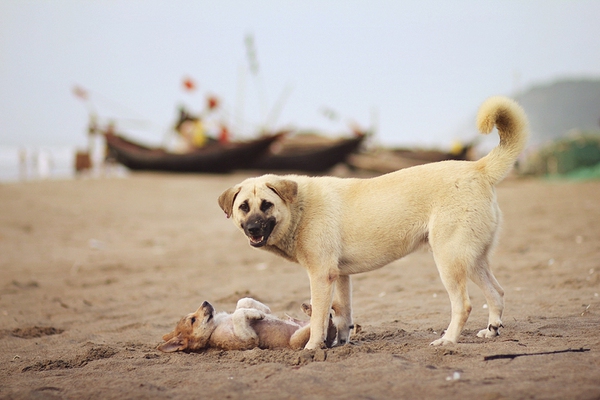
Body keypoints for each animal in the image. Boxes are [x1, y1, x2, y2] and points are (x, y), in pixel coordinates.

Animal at [159, 296, 338, 352]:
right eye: (193, 320)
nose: (205, 302)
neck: (215, 325)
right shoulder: (249, 340)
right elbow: (239, 315)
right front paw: (258, 314)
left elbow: (242, 302)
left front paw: (261, 310)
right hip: (297, 340)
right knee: (326, 325)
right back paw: (310, 310)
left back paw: (309, 308)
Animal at [218, 97, 528, 350]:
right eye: (243, 207)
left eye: (266, 205)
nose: (253, 229)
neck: (300, 209)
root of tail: (477, 168)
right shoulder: (340, 276)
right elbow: (343, 314)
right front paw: (340, 344)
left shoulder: (320, 276)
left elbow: (318, 318)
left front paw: (313, 348)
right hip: (472, 259)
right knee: (497, 293)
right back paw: (492, 330)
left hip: (449, 261)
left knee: (463, 305)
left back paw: (448, 340)